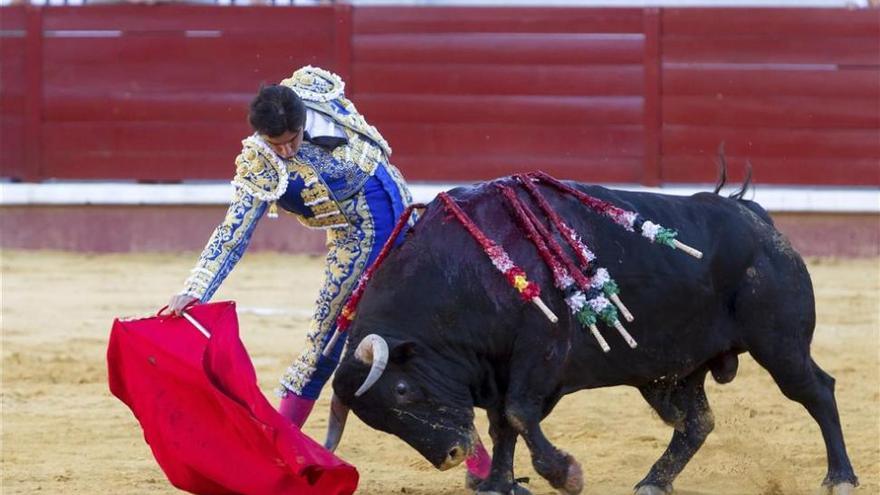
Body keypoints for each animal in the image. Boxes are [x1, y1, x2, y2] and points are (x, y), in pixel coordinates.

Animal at [324, 173, 860, 495]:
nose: (451, 456)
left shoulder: (540, 356)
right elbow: (502, 427)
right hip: (675, 369)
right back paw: (654, 481)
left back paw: (840, 476)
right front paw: (500, 484)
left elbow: (517, 416)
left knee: (818, 391)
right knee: (696, 423)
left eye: (401, 389)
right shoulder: (499, 368)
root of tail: (759, 221)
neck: (465, 272)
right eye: (379, 421)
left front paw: (566, 474)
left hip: (781, 345)